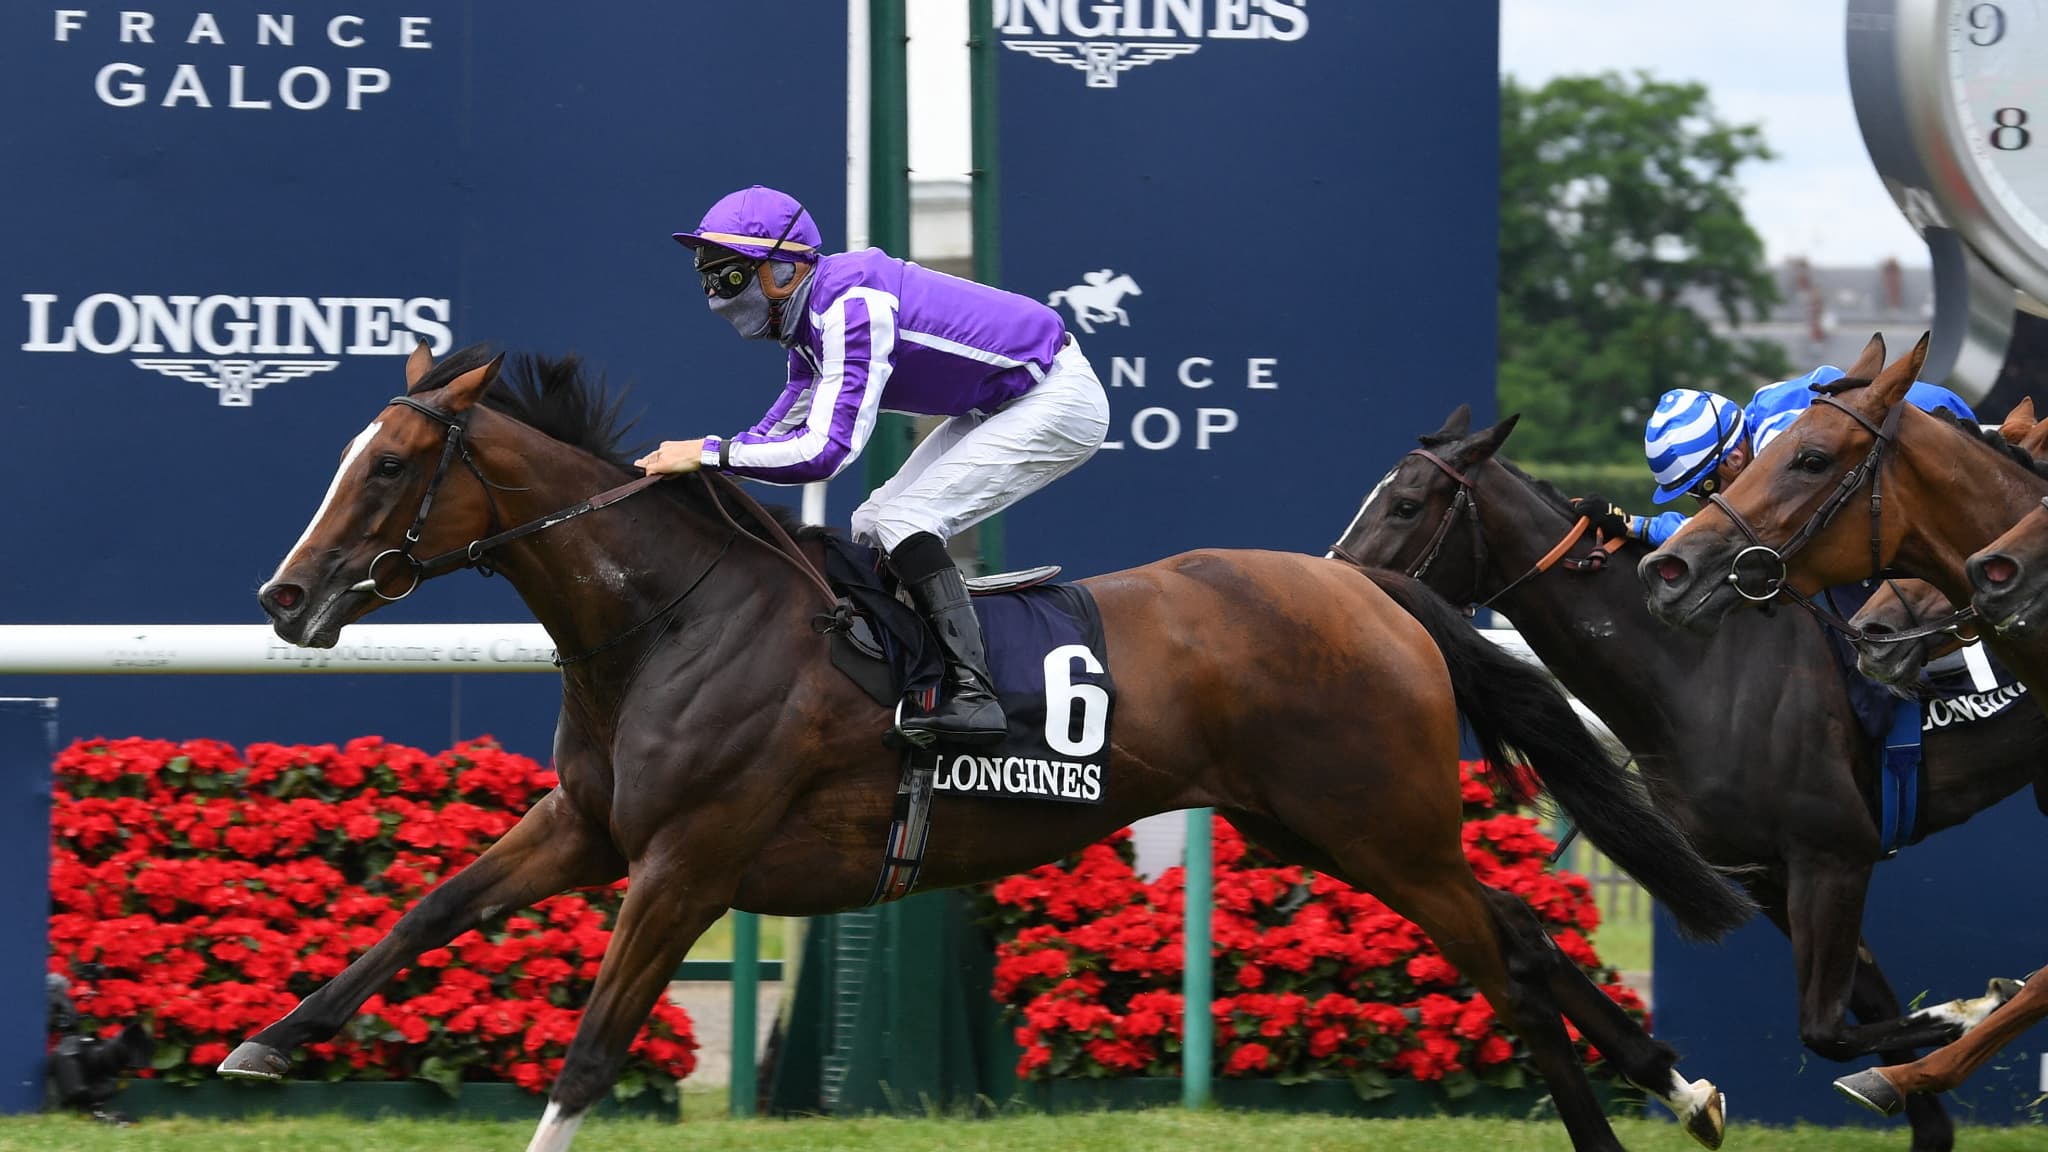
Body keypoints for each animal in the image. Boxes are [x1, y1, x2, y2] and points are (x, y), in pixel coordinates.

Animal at [232, 344, 1753, 1147]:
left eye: (386, 466)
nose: (285, 599)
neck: (674, 618)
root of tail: (1369, 590)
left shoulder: (688, 862)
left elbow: (596, 1046)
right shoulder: (591, 829)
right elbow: (425, 913)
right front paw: (264, 1046)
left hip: (1381, 825)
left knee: (1508, 965)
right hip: (1333, 828)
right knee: (1527, 940)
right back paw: (1684, 1089)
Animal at [1327, 403, 2048, 1147]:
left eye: (1406, 505)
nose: (1335, 589)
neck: (1700, 672)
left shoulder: (1833, 853)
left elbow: (1826, 1029)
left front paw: (1975, 1005)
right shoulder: (1767, 874)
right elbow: (1860, 1010)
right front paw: (1928, 1100)